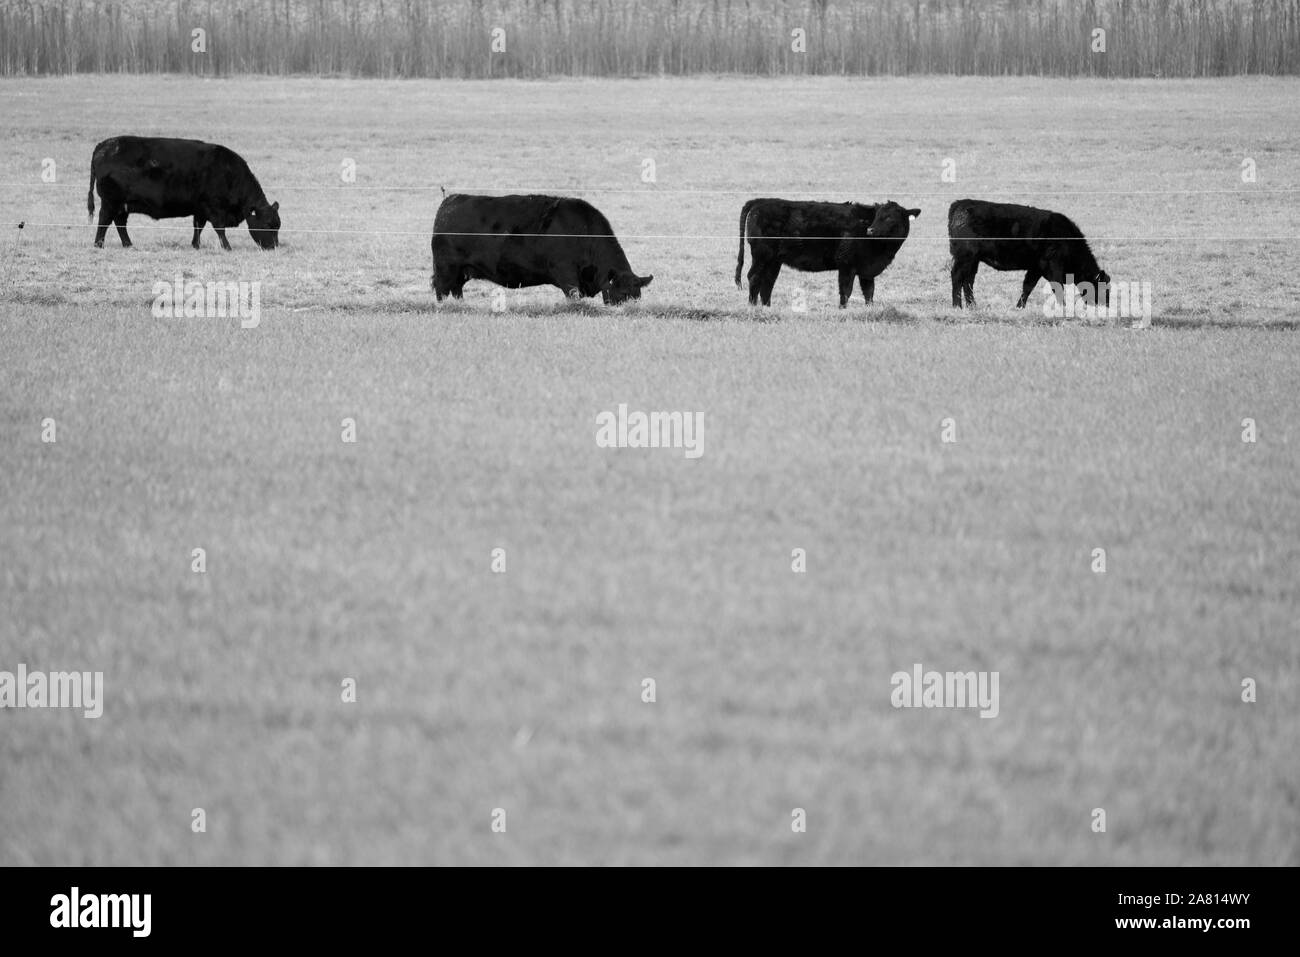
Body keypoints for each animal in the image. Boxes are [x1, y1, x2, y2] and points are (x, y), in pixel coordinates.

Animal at [87, 138, 280, 252]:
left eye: (277, 226)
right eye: (268, 224)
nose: (274, 246)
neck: (229, 173)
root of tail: (103, 146)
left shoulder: (200, 209)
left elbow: (198, 227)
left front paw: (196, 245)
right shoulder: (214, 208)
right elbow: (219, 228)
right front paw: (227, 247)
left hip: (122, 205)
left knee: (119, 223)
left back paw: (128, 244)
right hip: (110, 202)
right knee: (104, 220)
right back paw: (99, 244)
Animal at [434, 197, 655, 308]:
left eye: (637, 297)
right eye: (623, 294)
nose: (631, 311)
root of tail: (449, 201)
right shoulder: (566, 274)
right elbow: (573, 297)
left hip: (461, 272)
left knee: (456, 291)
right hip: (446, 268)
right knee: (442, 291)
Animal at [738, 197, 920, 306]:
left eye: (890, 217)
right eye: (877, 215)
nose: (871, 230)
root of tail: (761, 201)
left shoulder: (867, 271)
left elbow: (869, 293)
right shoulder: (846, 264)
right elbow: (846, 291)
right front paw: (842, 311)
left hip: (774, 260)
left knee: (767, 283)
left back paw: (766, 308)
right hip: (761, 255)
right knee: (754, 278)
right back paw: (752, 307)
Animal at [946, 197, 1107, 306]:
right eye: (1105, 289)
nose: (1106, 307)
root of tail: (960, 204)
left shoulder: (1036, 268)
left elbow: (1028, 286)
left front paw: (1019, 307)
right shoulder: (1053, 265)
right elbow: (1058, 287)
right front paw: (1064, 309)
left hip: (973, 259)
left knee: (968, 280)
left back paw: (972, 306)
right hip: (964, 256)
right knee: (957, 277)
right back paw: (957, 306)